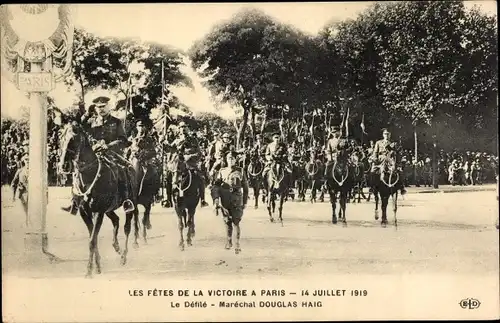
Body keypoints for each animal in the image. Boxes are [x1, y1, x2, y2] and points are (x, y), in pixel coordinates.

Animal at [59, 121, 141, 278]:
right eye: (61, 139)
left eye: (73, 139)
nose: (63, 166)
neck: (88, 176)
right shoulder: (85, 212)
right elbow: (93, 238)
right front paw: (97, 267)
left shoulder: (98, 212)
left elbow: (92, 240)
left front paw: (89, 271)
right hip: (109, 210)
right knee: (116, 220)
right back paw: (116, 246)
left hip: (129, 205)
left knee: (127, 228)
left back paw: (123, 256)